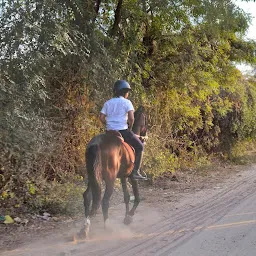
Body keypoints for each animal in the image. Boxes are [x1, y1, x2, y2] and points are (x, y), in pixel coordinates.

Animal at [80, 105, 148, 238]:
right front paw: (129, 217)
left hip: (93, 176)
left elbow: (126, 197)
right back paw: (107, 227)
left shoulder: (123, 176)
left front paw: (126, 217)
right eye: (145, 120)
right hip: (110, 179)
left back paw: (85, 228)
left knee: (88, 196)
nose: (144, 136)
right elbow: (136, 197)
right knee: (105, 201)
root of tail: (97, 144)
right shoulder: (131, 177)